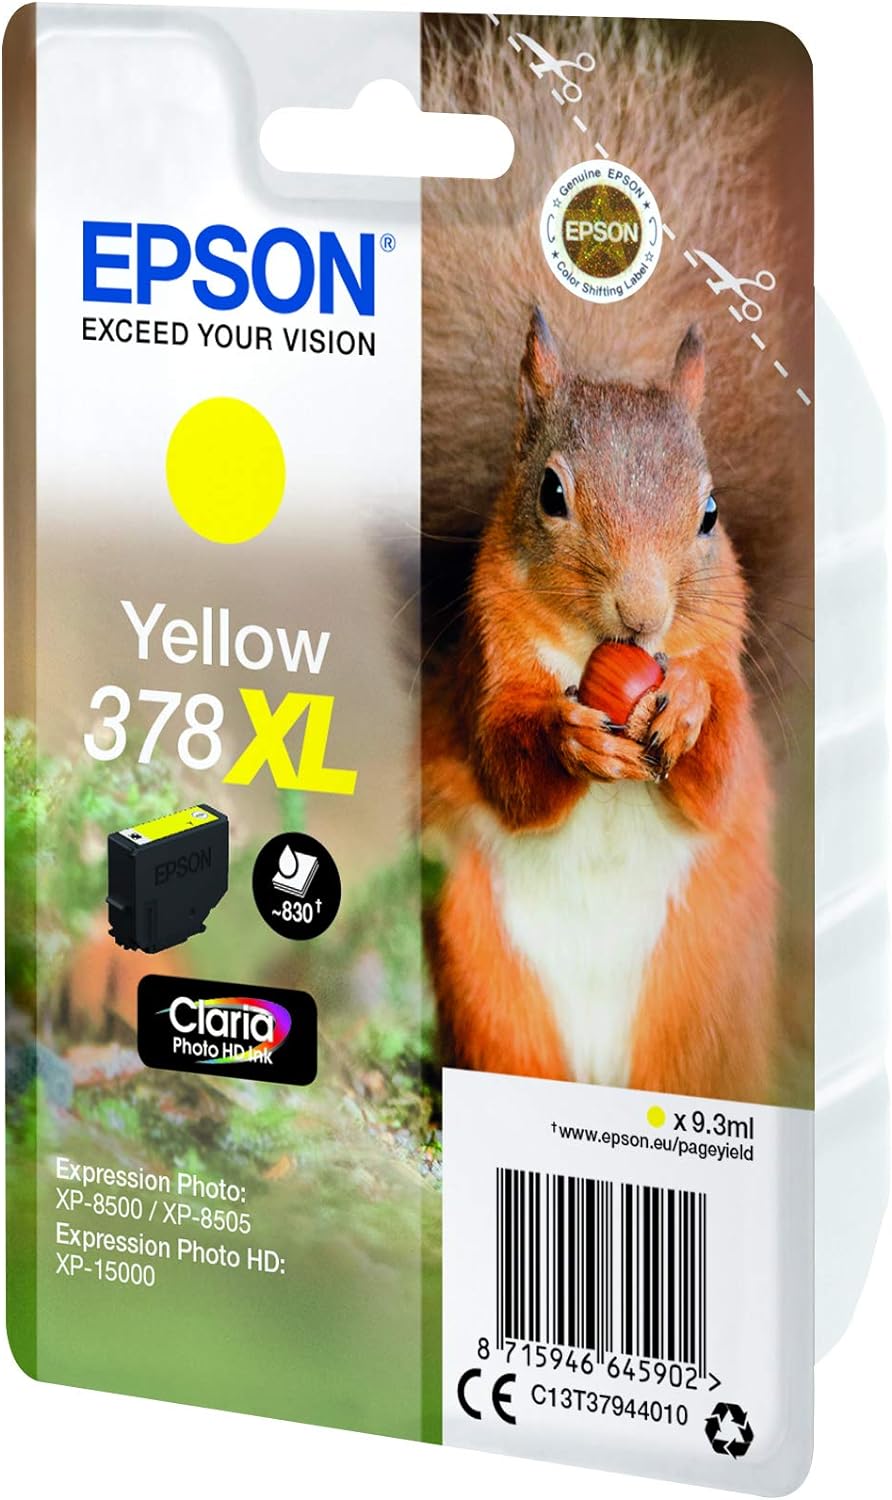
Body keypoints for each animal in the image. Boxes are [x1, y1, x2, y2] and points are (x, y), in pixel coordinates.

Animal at [419, 17, 812, 1102]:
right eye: (551, 493)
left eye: (710, 514)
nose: (642, 617)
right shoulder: (487, 661)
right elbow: (505, 764)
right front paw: (568, 740)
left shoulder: (723, 655)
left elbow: (718, 772)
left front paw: (685, 709)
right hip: (488, 980)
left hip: (698, 1001)